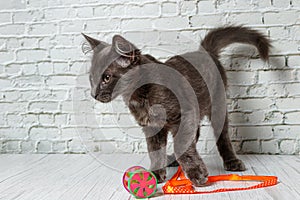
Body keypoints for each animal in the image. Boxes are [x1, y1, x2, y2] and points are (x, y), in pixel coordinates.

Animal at [82, 26, 272, 186]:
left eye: (106, 78)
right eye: (91, 78)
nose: (93, 94)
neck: (140, 95)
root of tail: (205, 52)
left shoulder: (183, 114)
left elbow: (181, 143)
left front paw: (196, 172)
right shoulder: (152, 127)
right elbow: (155, 150)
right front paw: (156, 173)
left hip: (218, 106)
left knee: (222, 136)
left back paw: (231, 161)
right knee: (195, 135)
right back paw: (174, 159)